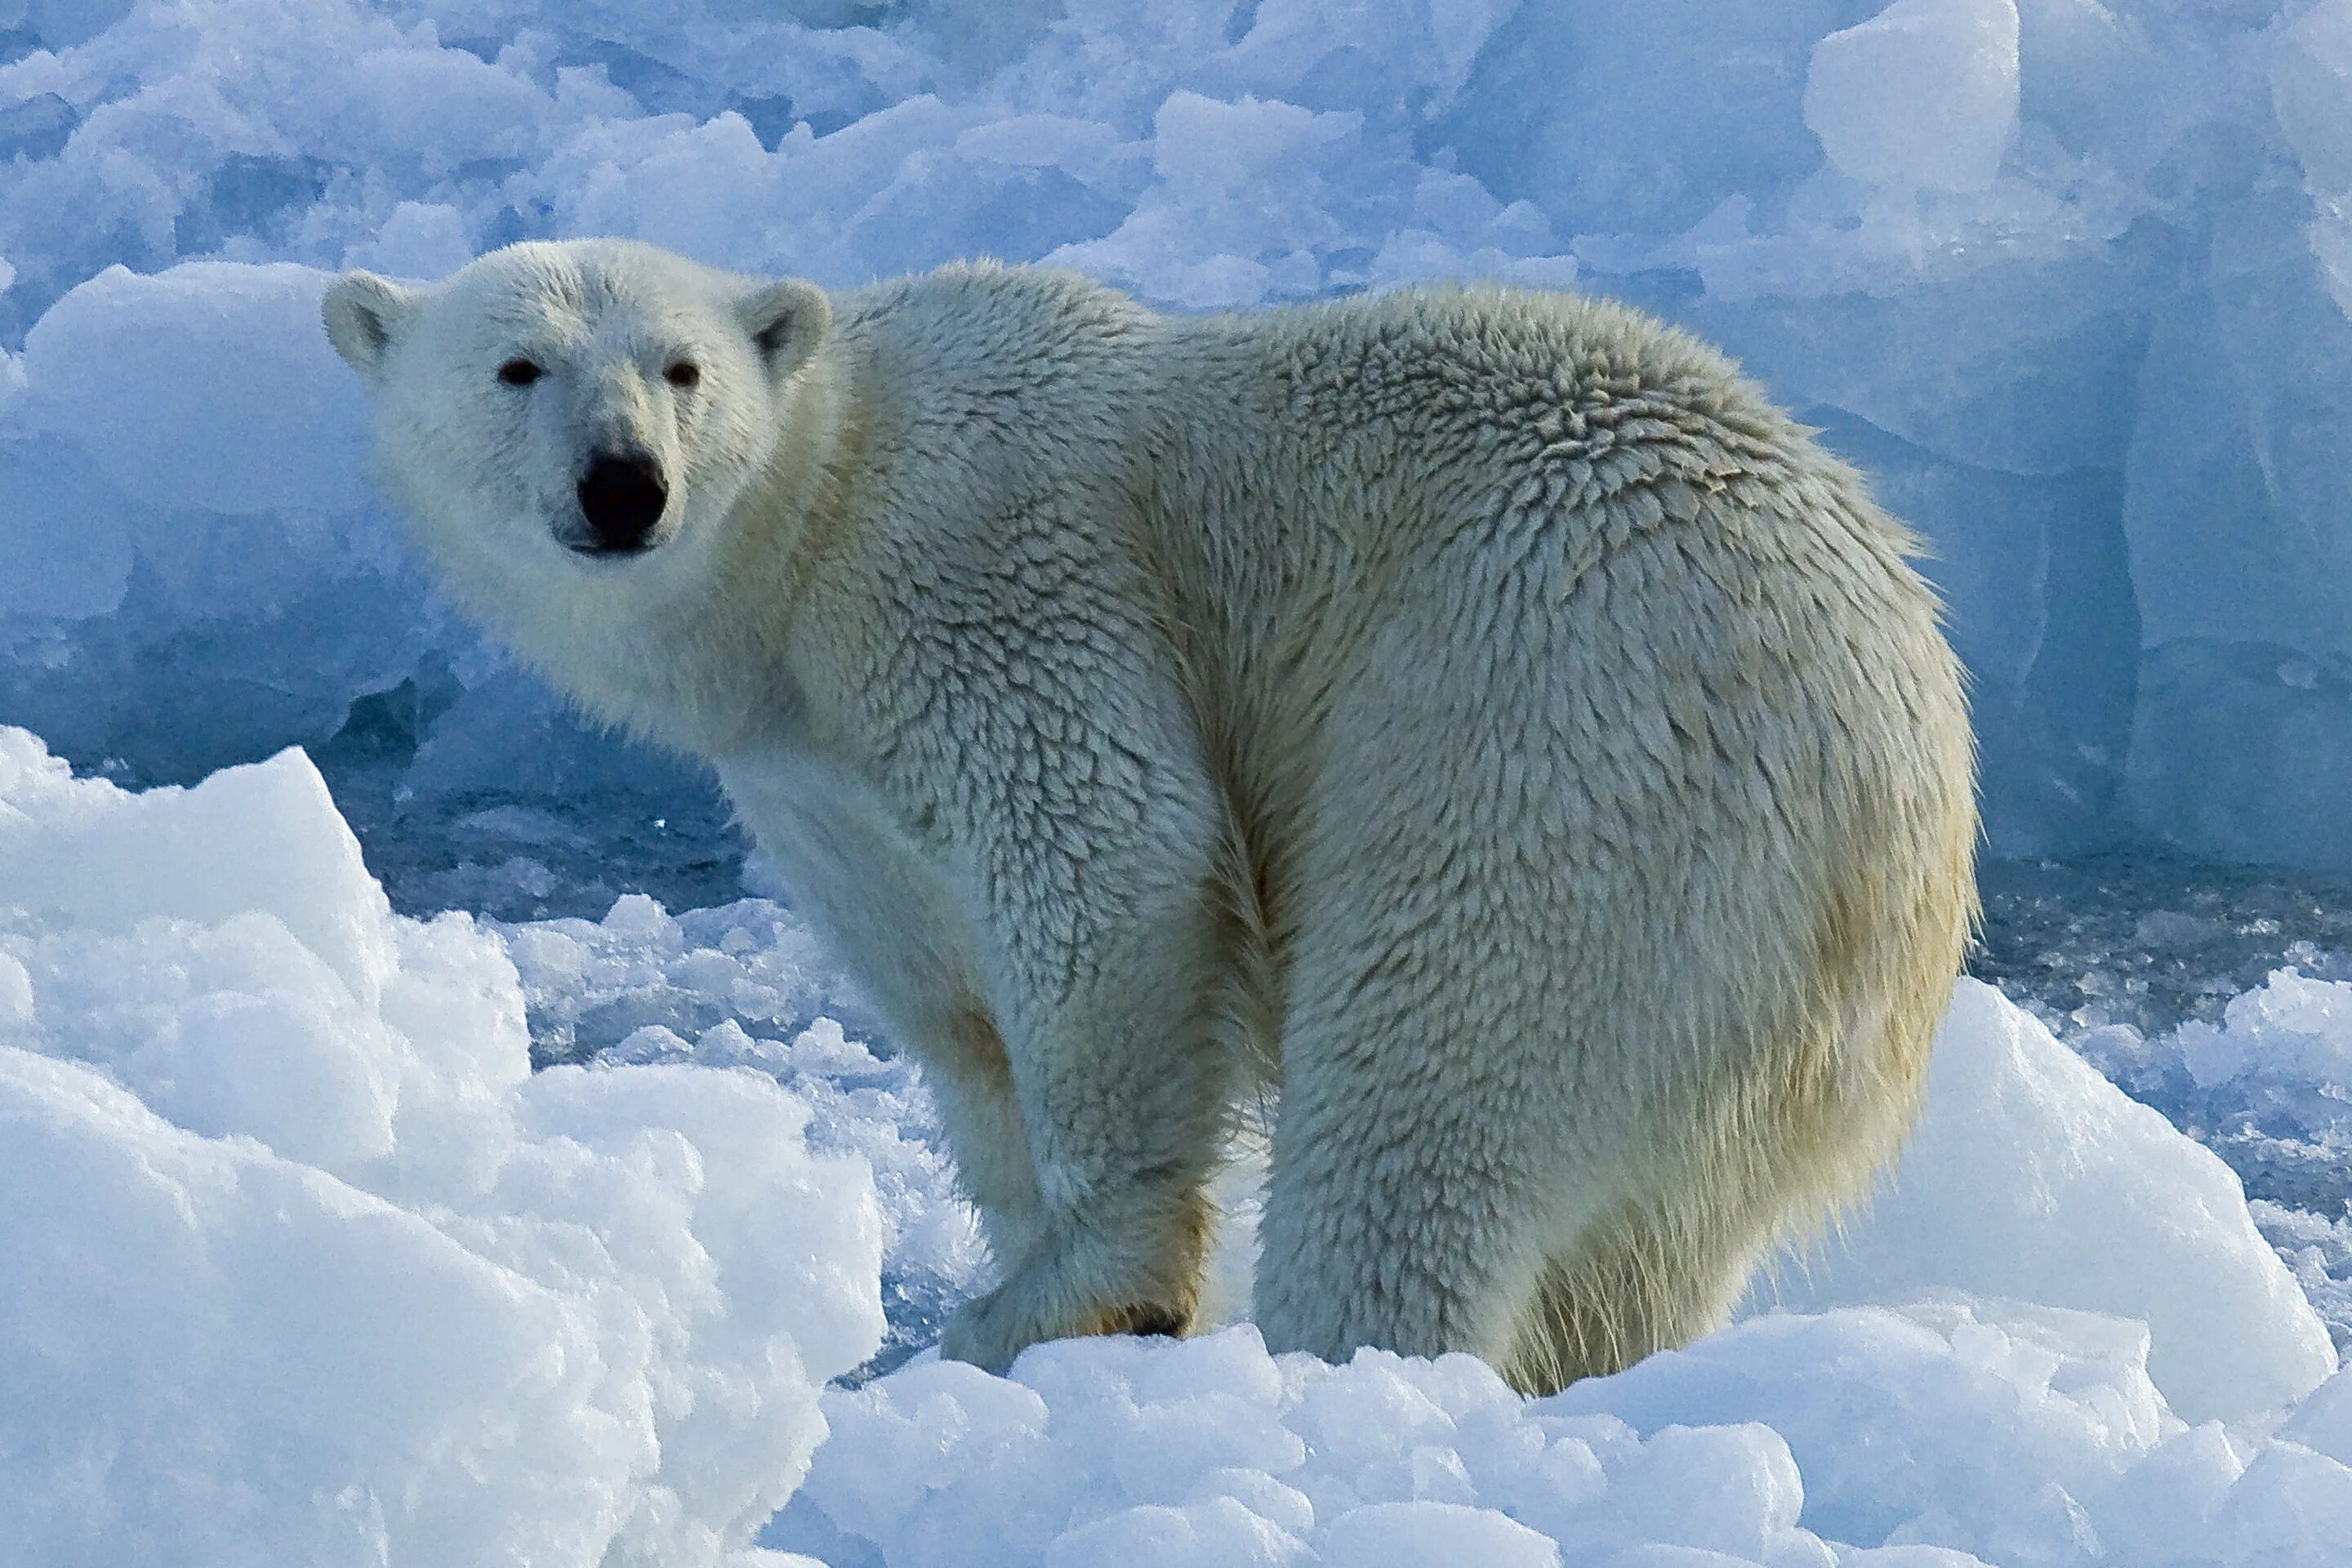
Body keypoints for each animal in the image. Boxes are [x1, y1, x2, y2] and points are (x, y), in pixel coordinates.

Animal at [322, 239, 1976, 1392]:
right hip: (1745, 1011)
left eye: (679, 369)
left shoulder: (982, 569)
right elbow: (958, 1016)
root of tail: (1906, 760)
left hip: (1546, 740)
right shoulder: (814, 781)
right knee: (1641, 1250)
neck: (811, 529)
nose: (625, 486)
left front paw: (1079, 1297)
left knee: (1426, 1093)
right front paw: (1023, 1264)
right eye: (517, 366)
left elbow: (1109, 858)